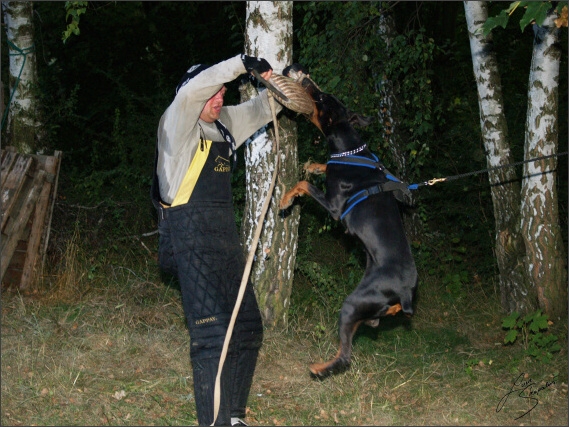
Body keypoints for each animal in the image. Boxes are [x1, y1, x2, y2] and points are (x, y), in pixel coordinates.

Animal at [280, 67, 418, 378]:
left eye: (319, 98)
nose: (303, 77)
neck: (350, 150)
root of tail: (405, 292)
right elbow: (320, 167)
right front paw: (314, 165)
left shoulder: (333, 206)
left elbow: (304, 184)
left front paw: (285, 198)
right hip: (365, 309)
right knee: (377, 321)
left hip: (351, 304)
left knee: (345, 356)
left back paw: (318, 367)